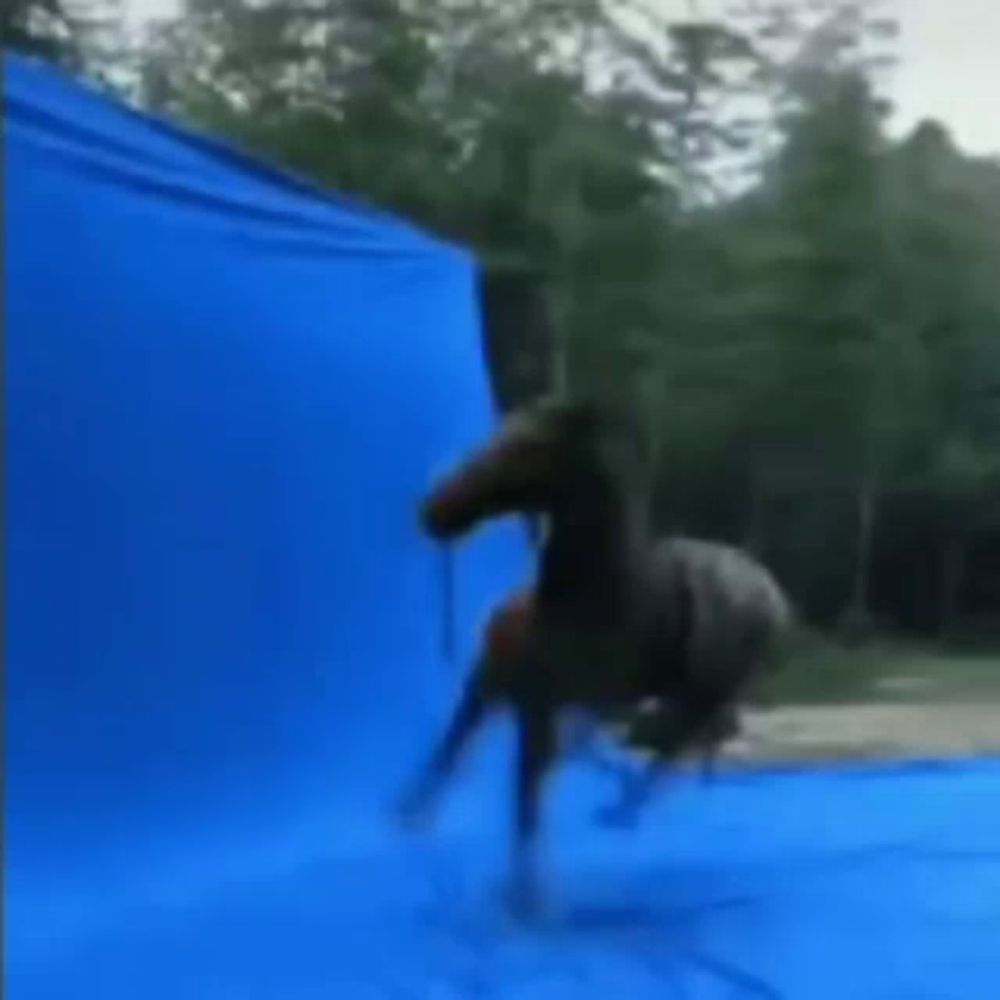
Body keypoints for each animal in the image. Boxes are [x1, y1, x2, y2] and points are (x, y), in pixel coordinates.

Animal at [394, 398, 792, 916]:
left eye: (525, 448)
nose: (434, 510)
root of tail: (772, 594)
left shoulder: (538, 706)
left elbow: (525, 794)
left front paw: (527, 897)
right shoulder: (514, 694)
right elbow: (484, 761)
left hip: (705, 689)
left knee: (682, 742)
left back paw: (623, 808)